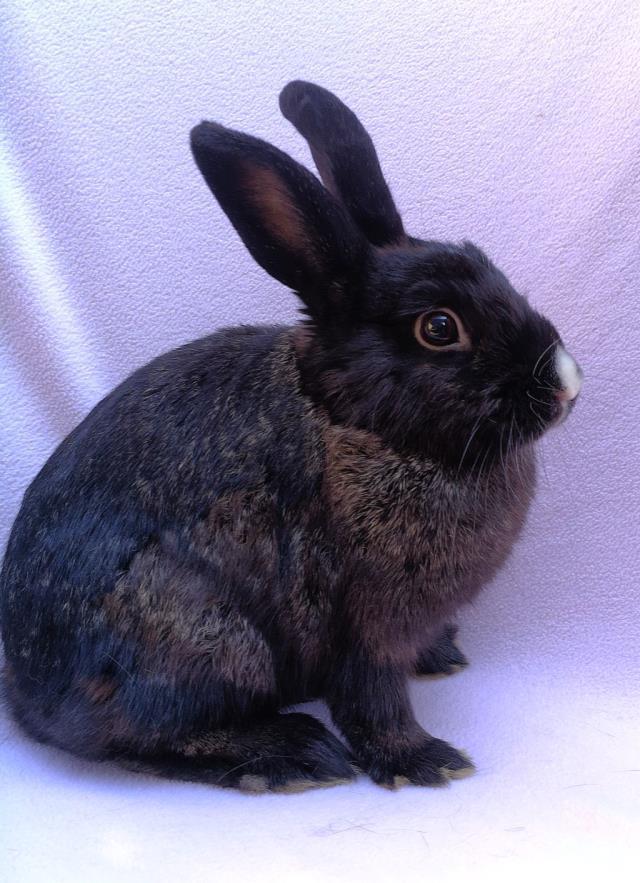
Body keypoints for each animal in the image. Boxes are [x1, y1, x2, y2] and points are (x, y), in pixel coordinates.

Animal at [0, 80, 582, 793]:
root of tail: (27, 697)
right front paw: (425, 761)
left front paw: (441, 654)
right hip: (209, 635)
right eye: (439, 328)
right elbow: (372, 700)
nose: (566, 384)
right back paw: (293, 754)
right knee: (145, 739)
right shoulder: (363, 622)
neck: (355, 420)